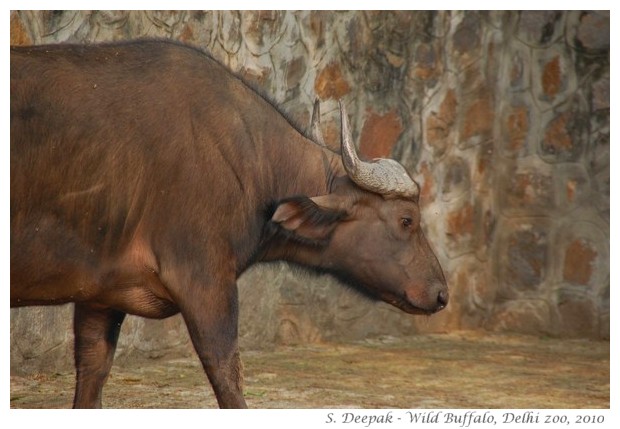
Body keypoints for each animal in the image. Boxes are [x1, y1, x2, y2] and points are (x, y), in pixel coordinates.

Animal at [8, 40, 446, 408]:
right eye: (407, 220)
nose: (441, 294)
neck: (246, 157)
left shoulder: (100, 297)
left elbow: (92, 375)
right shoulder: (206, 282)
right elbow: (228, 376)